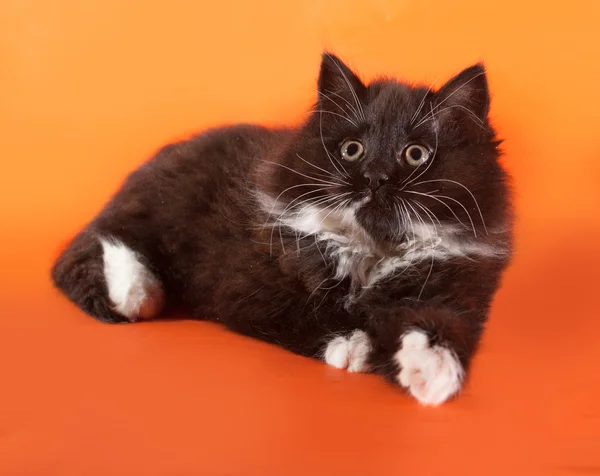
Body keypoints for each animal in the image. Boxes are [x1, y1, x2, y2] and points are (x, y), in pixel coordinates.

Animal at [51, 53, 512, 406]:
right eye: (352, 150)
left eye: (416, 154)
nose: (374, 177)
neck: (371, 250)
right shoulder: (250, 284)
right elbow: (312, 312)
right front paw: (358, 346)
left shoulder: (457, 290)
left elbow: (442, 326)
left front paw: (431, 372)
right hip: (149, 213)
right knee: (97, 251)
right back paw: (136, 287)